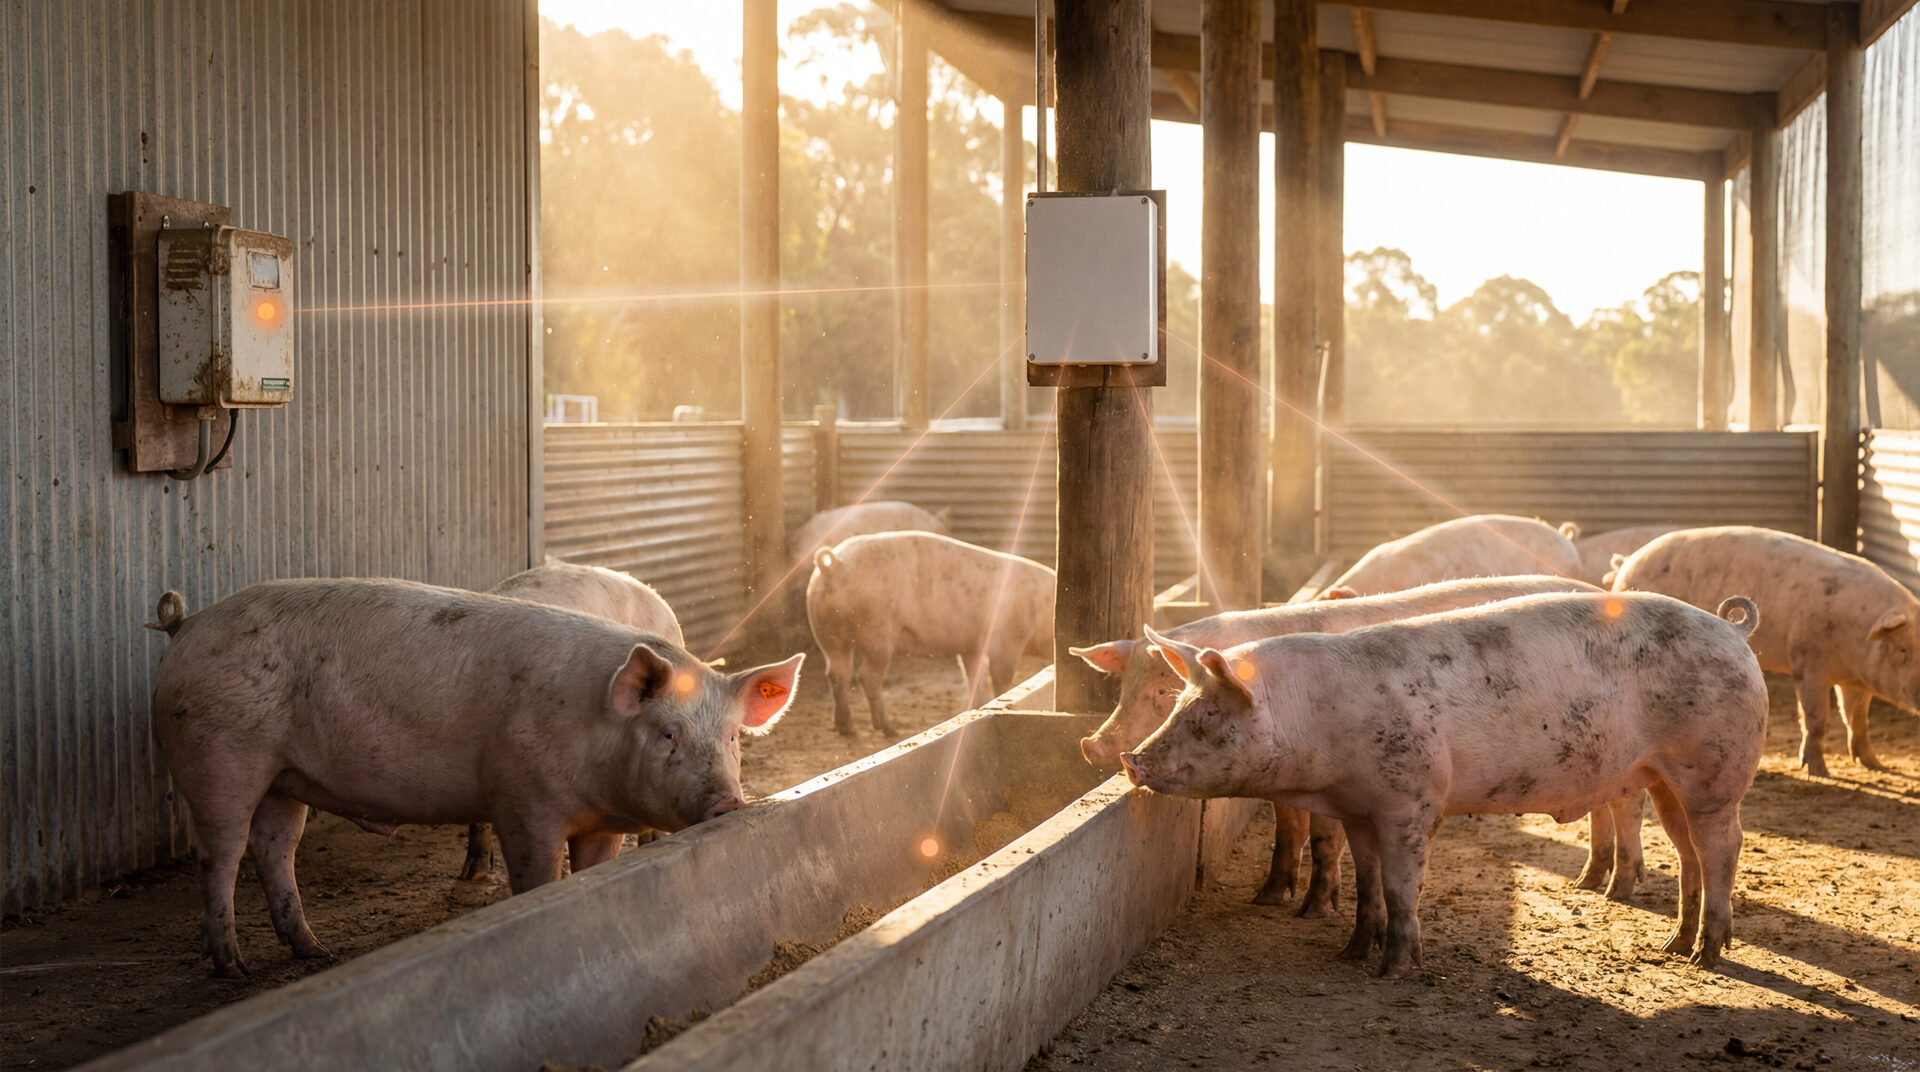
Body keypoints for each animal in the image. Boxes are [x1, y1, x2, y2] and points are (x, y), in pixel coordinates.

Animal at [807, 531, 1053, 736]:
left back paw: (847, 729)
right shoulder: (1009, 639)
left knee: (837, 674)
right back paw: (890, 730)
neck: (1041, 606)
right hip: (877, 633)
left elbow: (976, 678)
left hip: (828, 636)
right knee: (867, 677)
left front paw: (979, 706)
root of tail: (834, 565)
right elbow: (1002, 678)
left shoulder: (971, 648)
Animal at [1071, 575, 1599, 915]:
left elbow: (1325, 836)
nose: (1094, 747)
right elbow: (1289, 828)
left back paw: (1593, 882)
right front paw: (1267, 897)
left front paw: (1314, 910)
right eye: (1123, 688)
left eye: (1165, 692)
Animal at [1121, 592, 1767, 977]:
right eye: (1178, 703)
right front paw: (1351, 954)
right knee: (1686, 851)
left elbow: (1402, 885)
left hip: (1717, 768)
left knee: (1722, 846)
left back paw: (1707, 956)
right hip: (1663, 777)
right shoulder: (1356, 810)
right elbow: (1367, 882)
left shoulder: (1411, 799)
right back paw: (1673, 948)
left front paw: (1394, 971)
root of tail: (1734, 632)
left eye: (1208, 715)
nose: (1132, 760)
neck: (1317, 721)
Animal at [1614, 525, 1920, 778]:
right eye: (1902, 649)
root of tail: (1626, 564)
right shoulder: (1808, 663)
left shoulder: (1856, 680)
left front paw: (1877, 766)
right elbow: (1816, 719)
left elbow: (1856, 719)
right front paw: (1819, 773)